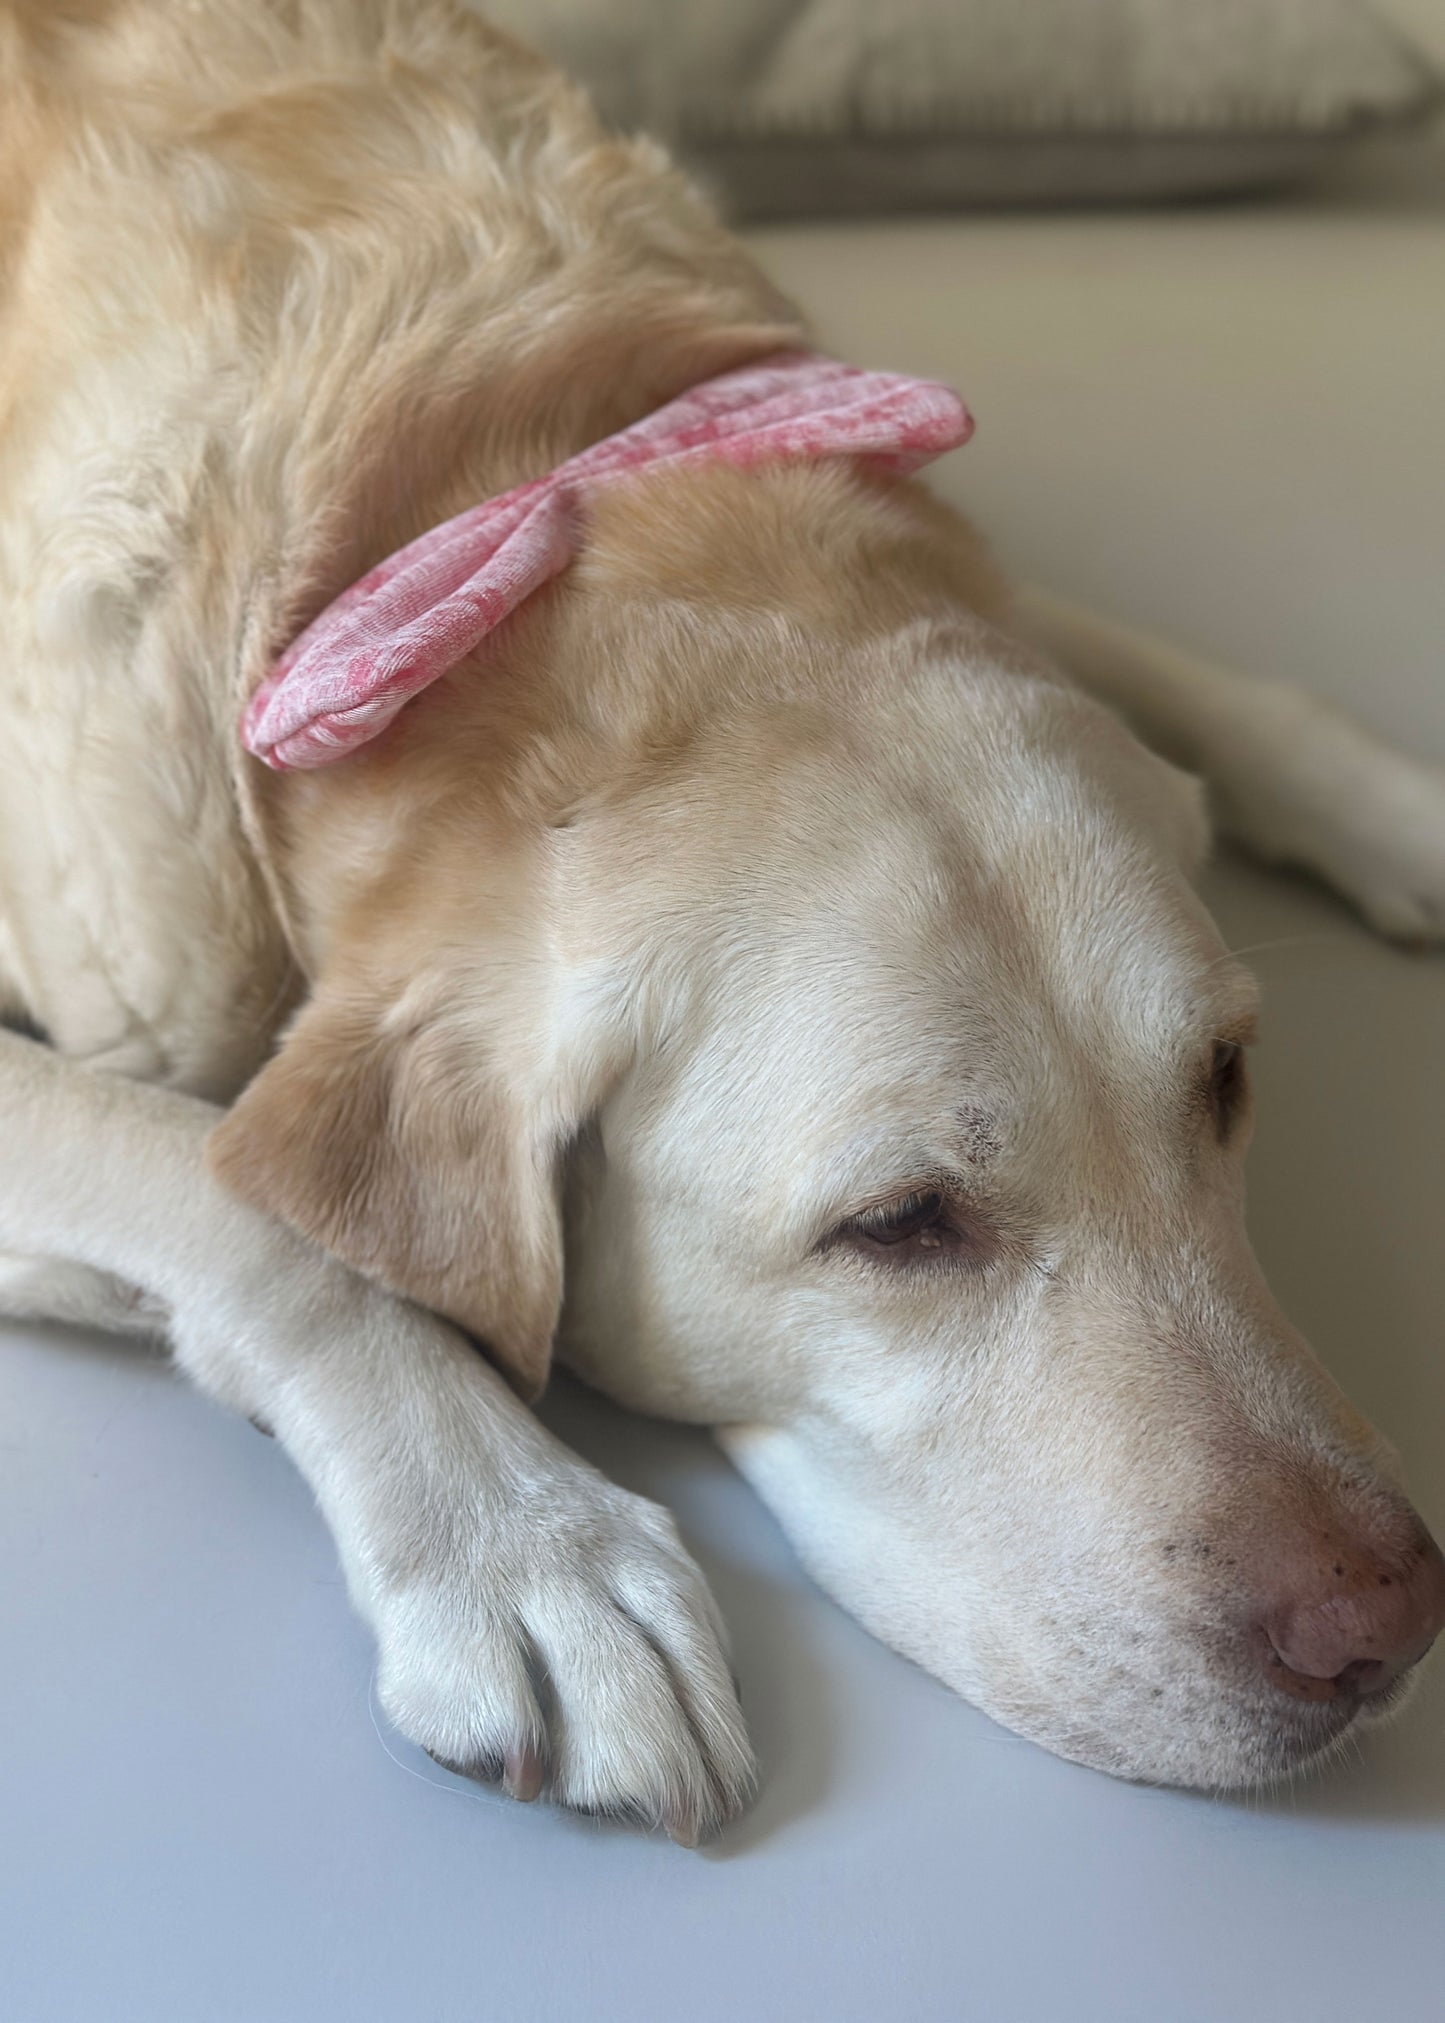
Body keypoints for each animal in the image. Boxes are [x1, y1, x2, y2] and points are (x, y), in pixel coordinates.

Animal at [2, 0, 1440, 1853]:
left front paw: (1390, 801)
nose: (1386, 1627)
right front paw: (526, 1544)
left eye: (1226, 1080)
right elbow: (229, 1189)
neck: (472, 483)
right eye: (897, 1223)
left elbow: (1150, 653)